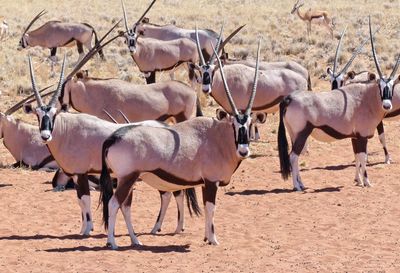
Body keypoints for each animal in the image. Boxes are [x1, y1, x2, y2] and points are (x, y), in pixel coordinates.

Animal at [98, 41, 264, 249]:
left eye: (250, 125)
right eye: (233, 124)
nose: (243, 150)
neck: (217, 137)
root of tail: (114, 137)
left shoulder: (205, 183)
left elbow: (207, 208)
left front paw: (206, 237)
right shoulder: (211, 182)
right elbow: (211, 208)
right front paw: (213, 239)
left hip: (126, 179)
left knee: (125, 206)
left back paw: (136, 240)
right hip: (128, 177)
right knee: (114, 203)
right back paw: (112, 242)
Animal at [278, 18, 400, 190]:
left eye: (392, 86)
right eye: (380, 86)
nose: (387, 105)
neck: (366, 99)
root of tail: (289, 99)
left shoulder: (355, 137)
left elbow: (357, 157)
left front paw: (358, 180)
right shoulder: (362, 136)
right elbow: (363, 158)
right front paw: (367, 182)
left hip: (293, 134)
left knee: (295, 155)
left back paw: (300, 182)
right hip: (302, 133)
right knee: (294, 156)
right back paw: (297, 186)